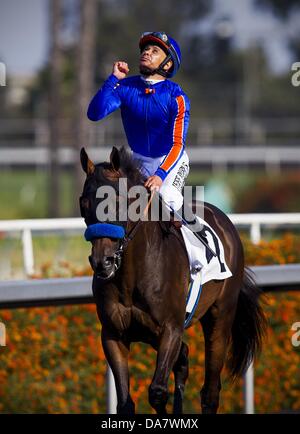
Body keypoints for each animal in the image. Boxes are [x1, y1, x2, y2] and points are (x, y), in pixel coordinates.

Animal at [78, 146, 266, 414]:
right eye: (84, 204)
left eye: (117, 202)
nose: (102, 262)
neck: (132, 277)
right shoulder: (114, 334)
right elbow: (125, 403)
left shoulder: (171, 329)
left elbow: (157, 392)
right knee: (184, 357)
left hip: (220, 318)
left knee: (210, 391)